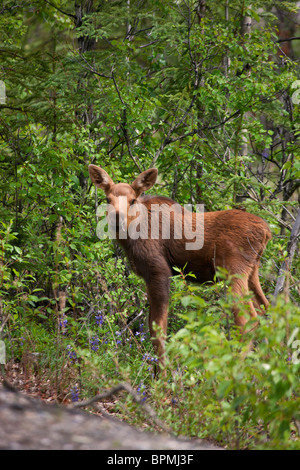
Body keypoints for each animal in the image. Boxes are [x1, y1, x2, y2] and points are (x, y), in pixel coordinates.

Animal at [88, 167, 272, 370]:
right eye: (107, 199)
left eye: (133, 200)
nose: (117, 219)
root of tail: (266, 231)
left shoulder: (159, 270)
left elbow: (158, 330)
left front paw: (162, 375)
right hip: (252, 272)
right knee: (266, 311)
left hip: (234, 271)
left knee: (248, 322)